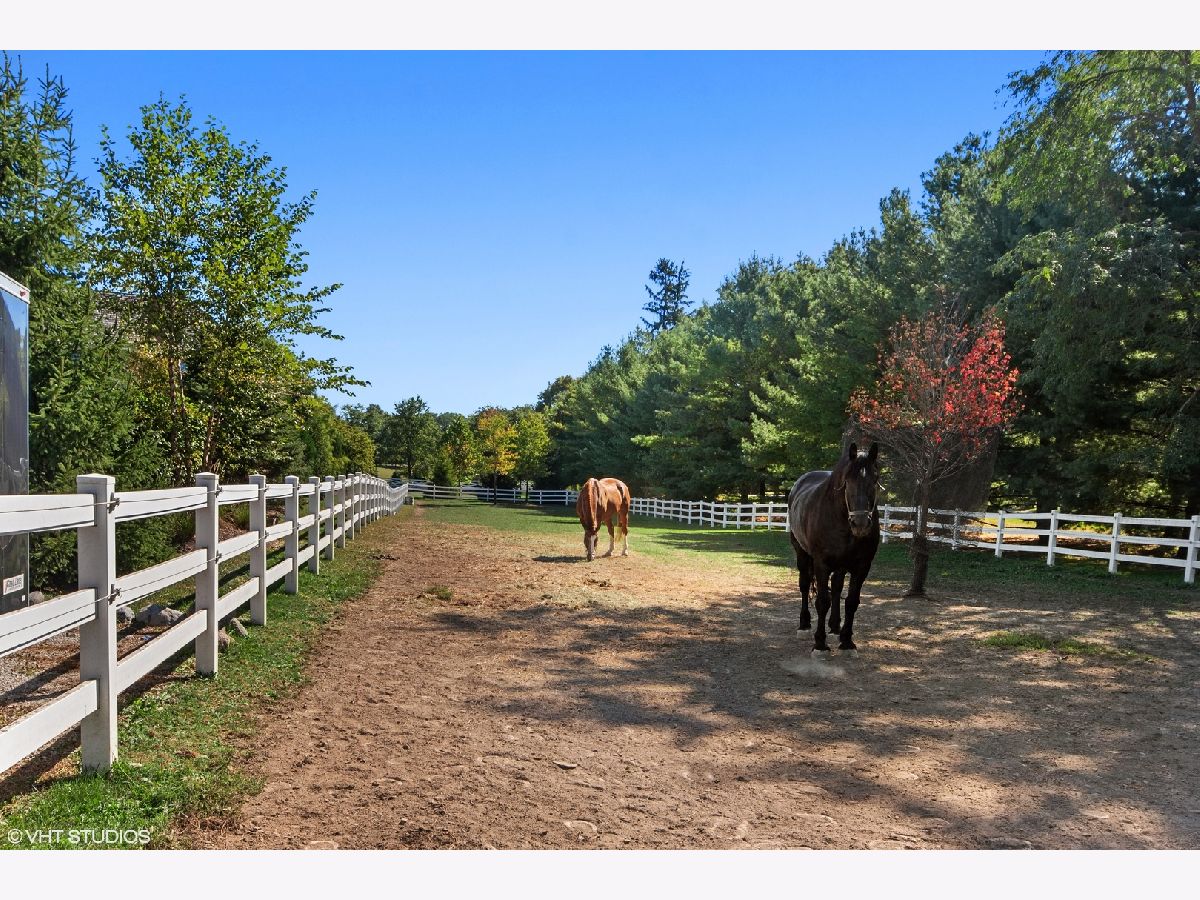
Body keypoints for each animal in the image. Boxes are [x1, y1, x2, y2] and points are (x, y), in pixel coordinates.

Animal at [787, 442, 881, 657]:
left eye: (875, 479)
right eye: (848, 480)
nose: (860, 523)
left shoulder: (862, 567)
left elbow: (851, 602)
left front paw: (847, 641)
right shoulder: (821, 564)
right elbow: (823, 601)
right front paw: (820, 644)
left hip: (841, 565)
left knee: (837, 588)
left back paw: (835, 628)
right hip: (802, 554)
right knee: (805, 585)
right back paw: (804, 625)